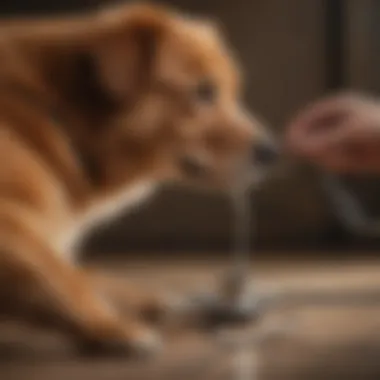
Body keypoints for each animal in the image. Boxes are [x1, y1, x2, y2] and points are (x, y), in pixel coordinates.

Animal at [0, 1, 278, 354]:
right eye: (204, 92)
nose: (272, 152)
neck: (59, 116)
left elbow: (82, 274)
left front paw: (146, 301)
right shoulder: (9, 225)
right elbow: (62, 279)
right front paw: (111, 326)